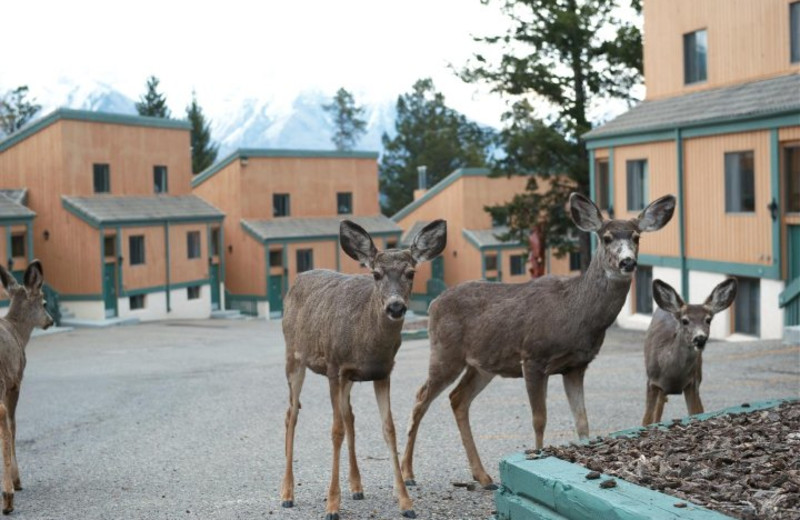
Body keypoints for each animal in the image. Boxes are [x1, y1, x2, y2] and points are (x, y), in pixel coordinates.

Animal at [280, 219, 444, 520]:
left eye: (411, 272)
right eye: (376, 274)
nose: (395, 307)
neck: (367, 339)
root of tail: (298, 278)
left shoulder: (382, 372)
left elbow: (388, 428)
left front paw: (406, 503)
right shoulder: (334, 368)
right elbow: (335, 431)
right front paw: (332, 506)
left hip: (348, 379)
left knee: (350, 416)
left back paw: (357, 487)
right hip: (293, 357)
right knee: (292, 413)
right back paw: (287, 494)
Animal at [400, 191, 676, 488]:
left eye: (636, 237)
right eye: (606, 237)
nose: (628, 262)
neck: (576, 311)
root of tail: (433, 304)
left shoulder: (576, 366)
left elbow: (582, 420)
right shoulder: (533, 357)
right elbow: (539, 419)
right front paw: (538, 459)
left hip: (482, 365)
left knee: (457, 399)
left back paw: (483, 476)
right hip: (445, 352)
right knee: (421, 397)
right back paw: (408, 474)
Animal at [640, 278, 740, 424]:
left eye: (708, 320)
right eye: (685, 320)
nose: (700, 338)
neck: (672, 375)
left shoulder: (693, 383)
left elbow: (697, 414)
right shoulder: (652, 382)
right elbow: (646, 421)